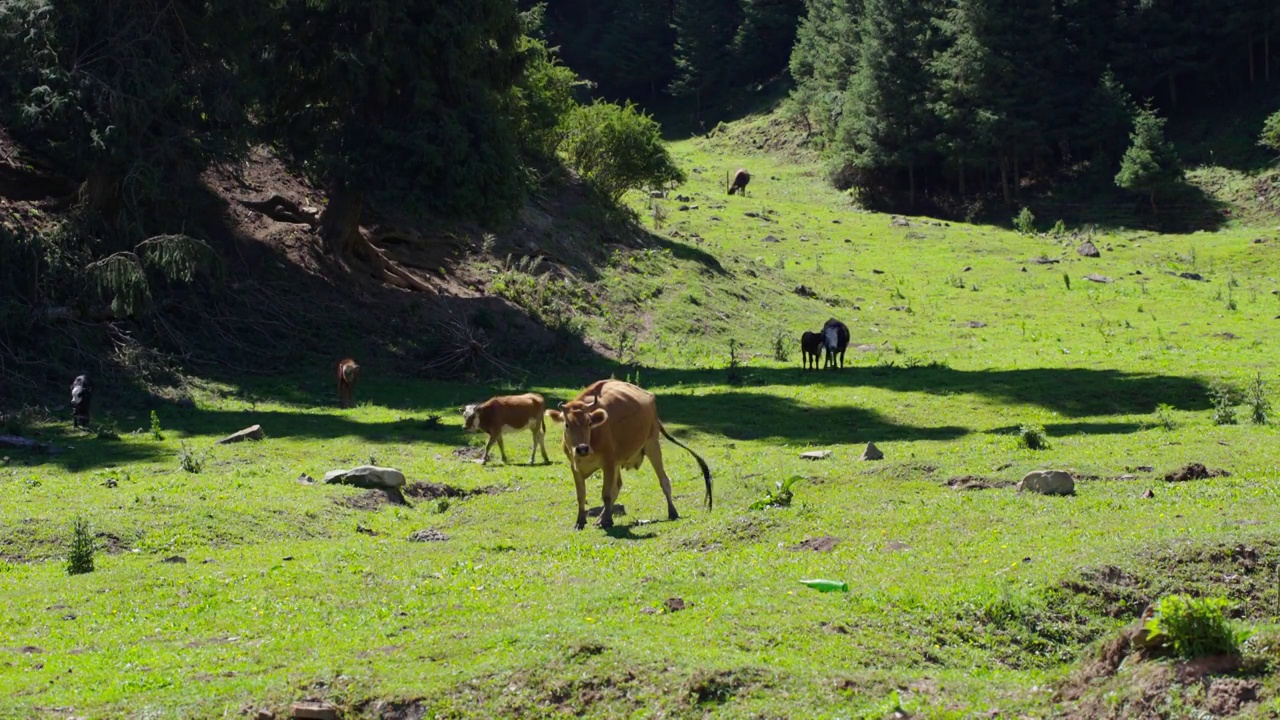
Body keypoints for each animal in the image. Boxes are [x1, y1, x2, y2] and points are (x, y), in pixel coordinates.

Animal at [547, 379, 716, 530]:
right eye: (566, 425)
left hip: (652, 444)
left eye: (589, 423)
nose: (582, 448)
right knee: (617, 486)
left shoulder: (608, 463)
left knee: (664, 480)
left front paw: (607, 521)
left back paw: (672, 511)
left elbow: (606, 493)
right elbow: (581, 495)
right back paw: (600, 518)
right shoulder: (575, 466)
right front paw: (581, 521)